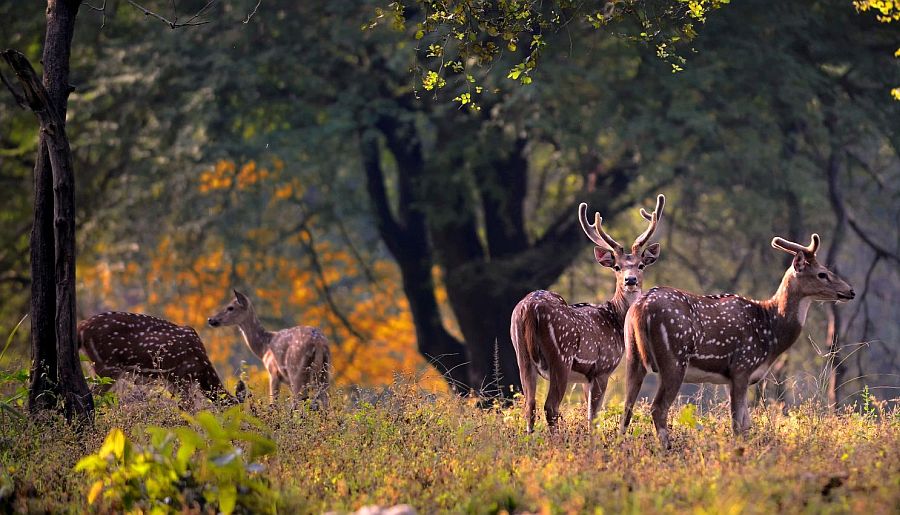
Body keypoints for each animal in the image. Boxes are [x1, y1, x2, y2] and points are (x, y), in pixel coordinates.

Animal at [76, 310, 246, 408]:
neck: (202, 371)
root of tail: (82, 327)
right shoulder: (181, 377)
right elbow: (188, 409)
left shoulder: (171, 381)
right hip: (108, 365)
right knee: (91, 395)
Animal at [510, 196, 664, 434]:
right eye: (617, 267)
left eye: (641, 265)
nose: (630, 280)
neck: (615, 319)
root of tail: (529, 309)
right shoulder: (602, 368)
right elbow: (594, 416)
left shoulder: (585, 378)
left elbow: (588, 413)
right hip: (561, 357)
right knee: (550, 406)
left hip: (521, 355)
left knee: (530, 405)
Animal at [624, 234, 856, 448]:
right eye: (822, 273)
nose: (850, 291)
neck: (770, 330)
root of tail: (641, 307)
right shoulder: (742, 367)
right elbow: (738, 425)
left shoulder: (734, 377)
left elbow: (746, 424)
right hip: (674, 359)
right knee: (658, 408)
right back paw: (667, 448)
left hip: (633, 356)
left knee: (627, 406)